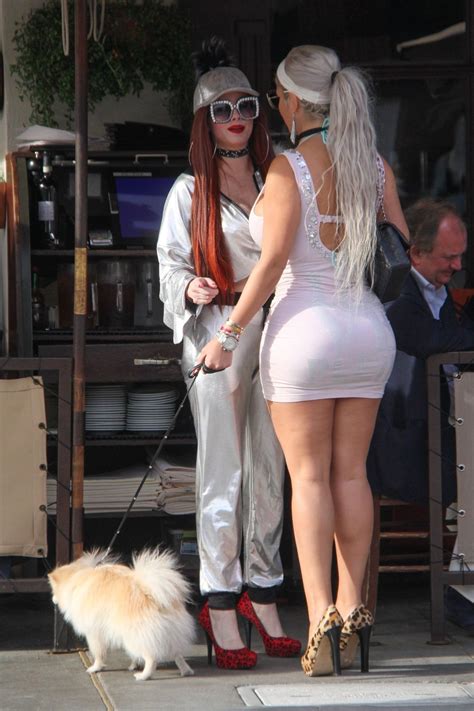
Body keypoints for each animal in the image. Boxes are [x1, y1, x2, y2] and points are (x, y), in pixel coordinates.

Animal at [47, 548, 194, 680]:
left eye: (53, 591)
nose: (52, 599)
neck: (77, 578)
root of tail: (153, 595)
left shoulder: (94, 632)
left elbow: (98, 654)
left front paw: (95, 668)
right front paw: (133, 665)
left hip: (136, 635)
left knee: (151, 658)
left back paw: (143, 676)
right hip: (168, 634)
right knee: (177, 654)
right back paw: (186, 670)